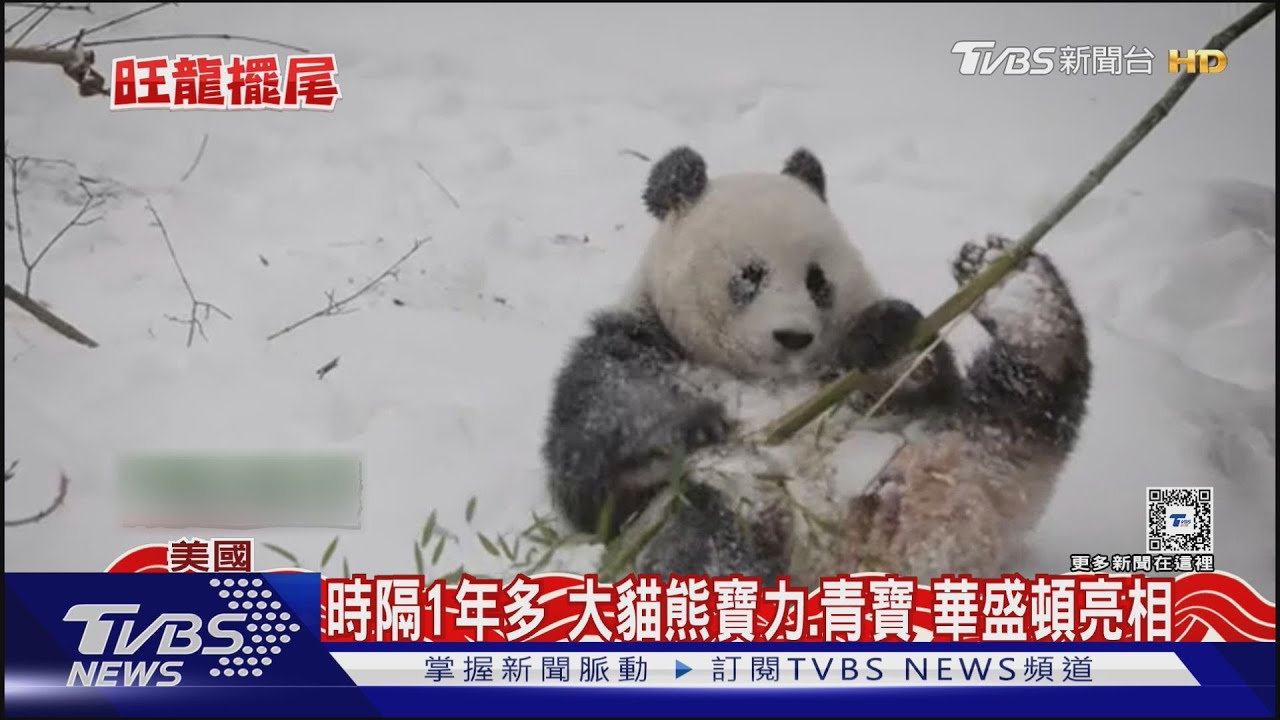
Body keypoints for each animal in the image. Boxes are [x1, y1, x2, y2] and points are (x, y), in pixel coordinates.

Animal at [540, 145, 1092, 584]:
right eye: (751, 274)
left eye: (817, 280)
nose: (794, 337)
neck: (767, 378)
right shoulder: (638, 345)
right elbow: (591, 451)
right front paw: (692, 422)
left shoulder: (857, 379)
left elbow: (924, 377)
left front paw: (883, 334)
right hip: (731, 511)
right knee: (706, 546)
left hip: (954, 441)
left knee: (1024, 402)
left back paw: (1021, 294)